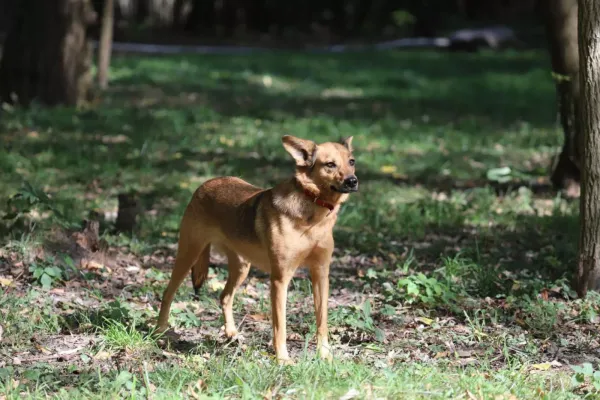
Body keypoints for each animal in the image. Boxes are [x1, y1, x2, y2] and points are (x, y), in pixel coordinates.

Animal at [157, 134, 358, 362]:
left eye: (351, 161)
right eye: (330, 164)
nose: (353, 181)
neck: (313, 215)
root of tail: (205, 185)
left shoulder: (321, 275)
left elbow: (322, 321)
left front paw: (324, 355)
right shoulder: (280, 279)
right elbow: (280, 327)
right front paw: (283, 360)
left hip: (241, 268)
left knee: (225, 297)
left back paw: (231, 333)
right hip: (188, 254)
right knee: (168, 293)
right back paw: (161, 330)